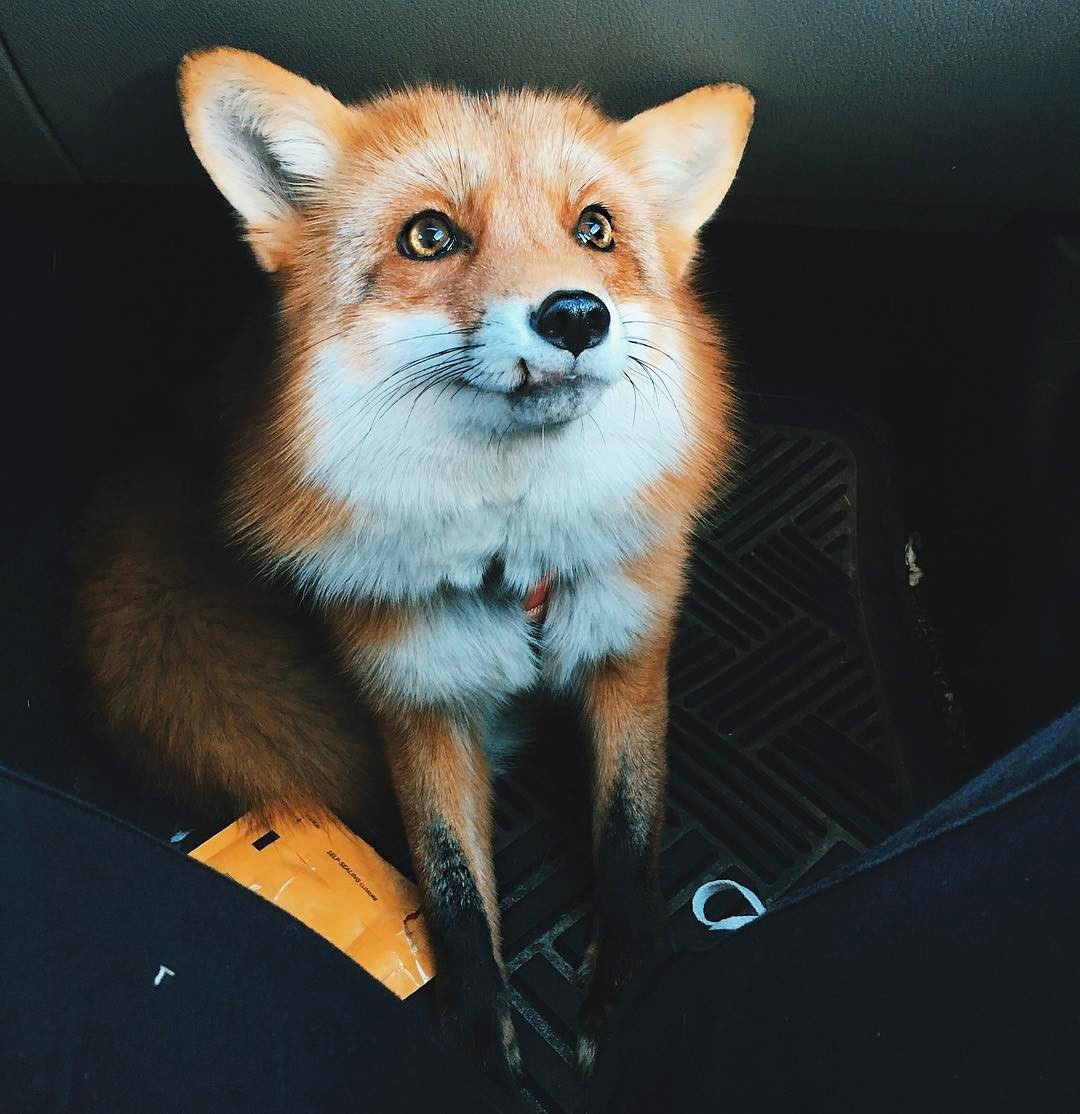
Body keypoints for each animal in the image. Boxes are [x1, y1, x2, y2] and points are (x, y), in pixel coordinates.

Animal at [71, 47, 753, 1091]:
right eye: (429, 235)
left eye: (595, 229)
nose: (575, 314)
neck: (516, 560)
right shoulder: (417, 695)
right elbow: (452, 886)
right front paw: (475, 1041)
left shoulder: (628, 652)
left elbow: (629, 837)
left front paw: (631, 983)